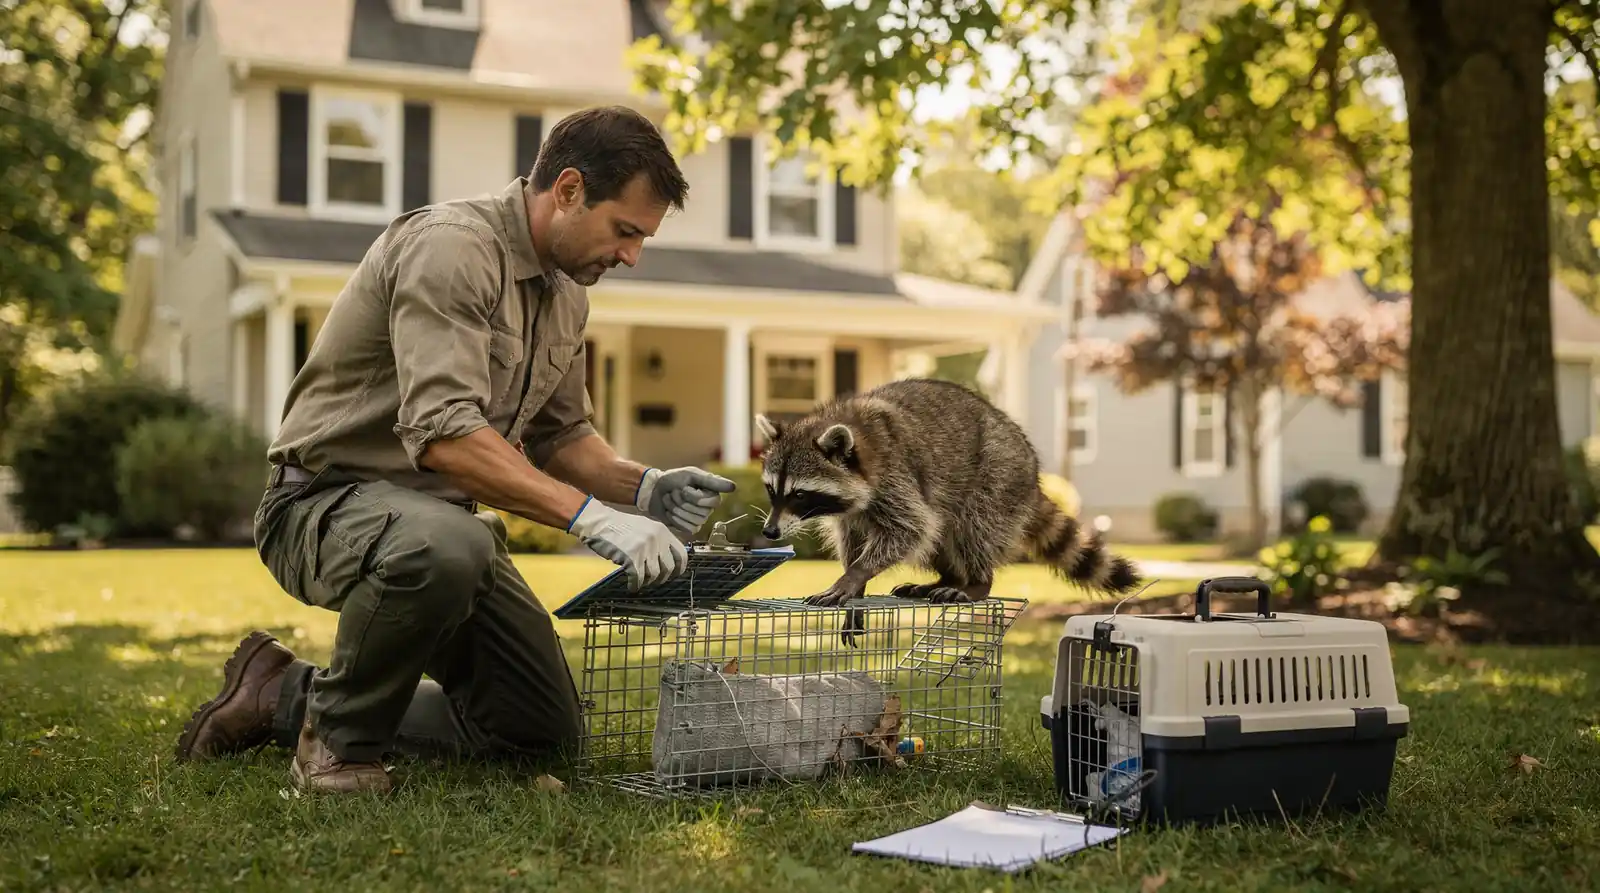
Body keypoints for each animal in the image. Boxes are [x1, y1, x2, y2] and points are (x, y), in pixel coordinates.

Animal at [756, 378, 1142, 607]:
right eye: (771, 490)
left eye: (799, 495)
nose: (770, 531)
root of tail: (1033, 473)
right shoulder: (851, 510)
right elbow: (853, 534)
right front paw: (855, 575)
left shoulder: (895, 478)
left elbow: (911, 529)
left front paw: (856, 573)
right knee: (940, 536)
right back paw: (949, 576)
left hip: (998, 478)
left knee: (972, 528)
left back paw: (977, 581)